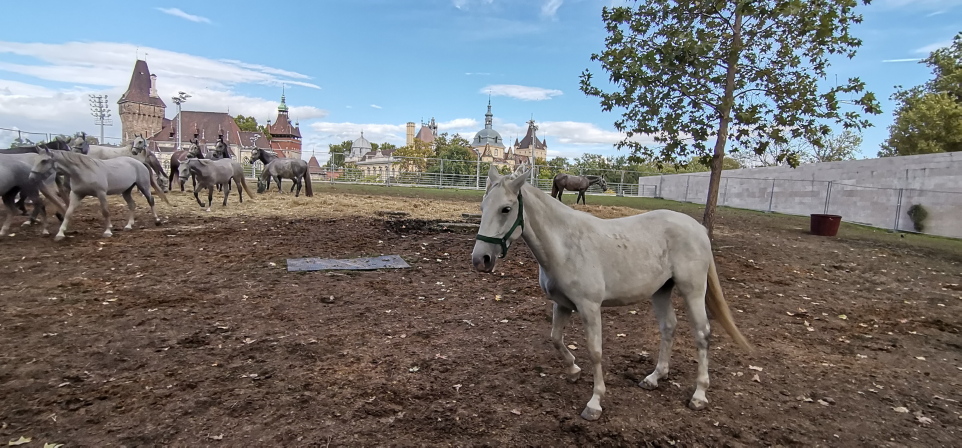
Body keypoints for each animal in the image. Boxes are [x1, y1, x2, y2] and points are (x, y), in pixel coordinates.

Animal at [28, 149, 163, 241]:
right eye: (35, 160)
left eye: (44, 160)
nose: (31, 178)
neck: (84, 171)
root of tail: (139, 162)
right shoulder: (76, 194)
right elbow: (68, 213)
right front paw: (60, 233)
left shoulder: (101, 193)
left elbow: (105, 211)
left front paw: (108, 231)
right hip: (126, 190)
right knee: (132, 205)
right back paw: (129, 225)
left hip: (143, 186)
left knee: (151, 200)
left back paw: (157, 220)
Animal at [471, 165, 751, 421]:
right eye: (483, 207)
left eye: (506, 209)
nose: (480, 260)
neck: (565, 245)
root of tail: (699, 229)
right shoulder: (562, 304)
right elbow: (556, 338)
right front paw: (574, 370)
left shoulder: (590, 307)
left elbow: (595, 352)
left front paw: (595, 403)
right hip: (661, 290)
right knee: (668, 327)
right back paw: (654, 377)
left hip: (693, 290)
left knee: (702, 334)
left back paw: (699, 395)